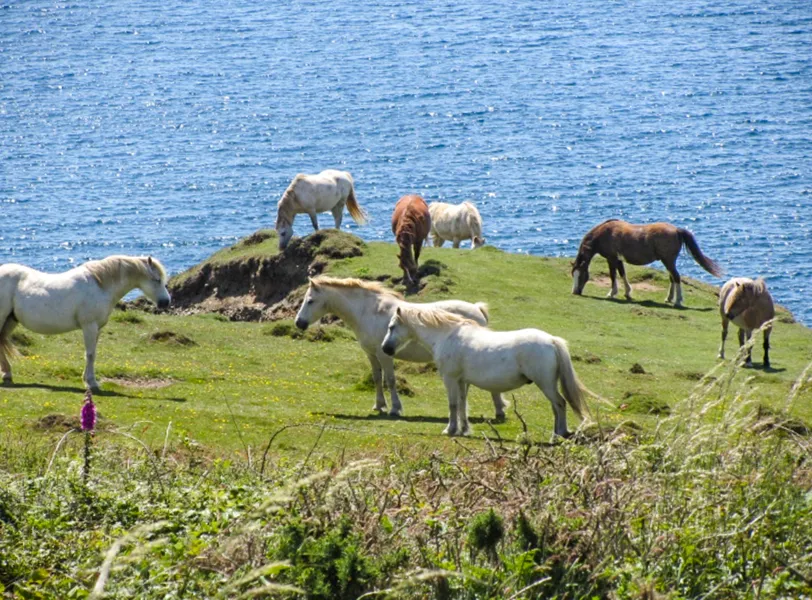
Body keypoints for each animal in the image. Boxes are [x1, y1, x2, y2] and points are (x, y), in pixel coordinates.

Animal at [0, 256, 171, 391]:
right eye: (157, 280)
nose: (166, 302)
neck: (101, 285)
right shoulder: (89, 326)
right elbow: (90, 354)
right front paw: (92, 383)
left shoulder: (97, 328)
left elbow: (92, 353)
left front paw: (87, 379)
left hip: (10, 321)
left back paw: (7, 374)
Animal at [294, 276, 507, 419]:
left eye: (310, 301)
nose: (299, 323)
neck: (368, 311)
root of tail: (477, 309)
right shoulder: (371, 354)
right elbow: (377, 378)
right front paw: (379, 405)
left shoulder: (384, 355)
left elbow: (390, 380)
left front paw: (395, 408)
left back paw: (498, 410)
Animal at [381, 305, 589, 438]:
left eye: (392, 327)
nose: (385, 349)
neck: (447, 335)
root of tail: (551, 340)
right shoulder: (461, 381)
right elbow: (462, 405)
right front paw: (463, 430)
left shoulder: (450, 379)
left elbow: (453, 405)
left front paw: (450, 430)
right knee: (557, 406)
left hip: (545, 384)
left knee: (560, 404)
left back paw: (559, 434)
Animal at [571, 219, 723, 307]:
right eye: (574, 274)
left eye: (581, 275)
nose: (575, 292)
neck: (604, 233)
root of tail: (676, 230)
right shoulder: (618, 259)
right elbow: (622, 274)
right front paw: (627, 293)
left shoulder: (611, 258)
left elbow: (613, 275)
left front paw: (611, 293)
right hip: (668, 261)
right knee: (672, 278)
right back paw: (669, 298)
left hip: (668, 261)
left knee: (676, 277)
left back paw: (678, 301)